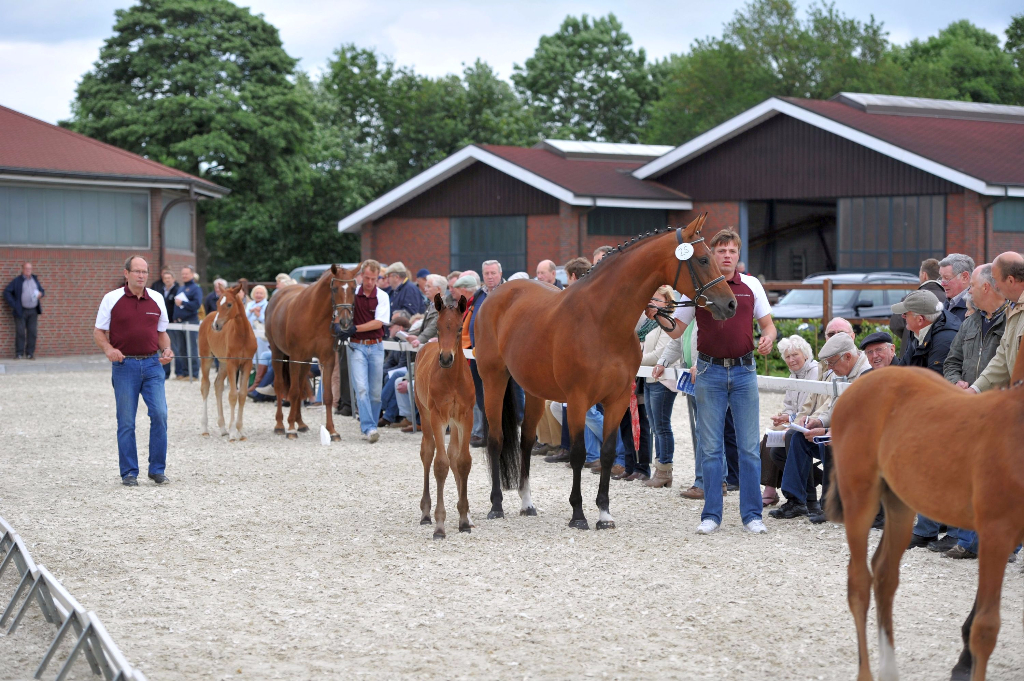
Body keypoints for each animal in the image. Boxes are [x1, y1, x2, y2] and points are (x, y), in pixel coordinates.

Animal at [198, 280, 258, 440]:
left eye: (229, 304)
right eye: (218, 302)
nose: (215, 325)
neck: (242, 335)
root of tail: (207, 317)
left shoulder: (246, 364)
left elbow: (242, 394)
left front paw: (240, 431)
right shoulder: (233, 364)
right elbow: (232, 395)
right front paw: (232, 433)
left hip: (223, 363)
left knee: (218, 385)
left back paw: (222, 427)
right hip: (207, 358)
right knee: (205, 386)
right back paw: (205, 428)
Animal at [264, 262, 356, 438]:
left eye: (354, 289)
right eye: (335, 288)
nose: (345, 321)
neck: (315, 316)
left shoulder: (327, 360)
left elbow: (327, 396)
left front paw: (332, 431)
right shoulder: (295, 358)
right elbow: (292, 392)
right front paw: (290, 429)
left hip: (305, 361)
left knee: (300, 388)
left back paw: (300, 423)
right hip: (277, 353)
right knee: (280, 385)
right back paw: (280, 425)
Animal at [411, 294, 475, 540]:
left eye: (459, 329)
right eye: (437, 328)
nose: (446, 358)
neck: (453, 378)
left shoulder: (466, 416)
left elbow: (463, 461)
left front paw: (464, 519)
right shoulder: (438, 417)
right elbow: (440, 464)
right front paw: (439, 524)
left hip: (454, 424)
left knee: (454, 454)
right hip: (425, 413)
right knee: (428, 453)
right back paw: (425, 513)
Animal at [471, 215, 737, 528]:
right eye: (704, 259)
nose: (730, 304)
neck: (601, 320)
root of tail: (495, 294)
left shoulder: (618, 399)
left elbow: (609, 453)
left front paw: (604, 513)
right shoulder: (577, 400)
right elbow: (577, 454)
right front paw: (578, 514)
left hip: (534, 390)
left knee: (525, 441)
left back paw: (527, 502)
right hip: (493, 380)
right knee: (496, 440)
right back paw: (496, 505)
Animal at [827, 339, 1024, 679]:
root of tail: (856, 386)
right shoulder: (996, 534)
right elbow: (985, 628)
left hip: (901, 505)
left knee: (885, 575)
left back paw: (889, 670)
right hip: (860, 501)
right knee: (859, 583)